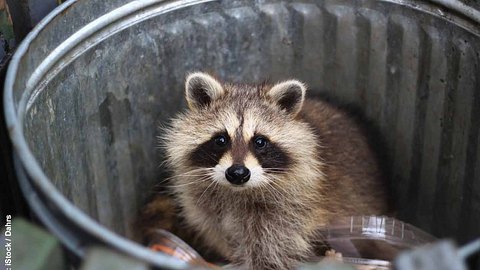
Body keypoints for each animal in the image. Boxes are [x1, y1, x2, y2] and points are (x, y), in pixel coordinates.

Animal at [149, 72, 386, 270]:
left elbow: (271, 251)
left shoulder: (291, 211)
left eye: (260, 141)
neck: (237, 193)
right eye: (220, 140)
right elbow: (217, 232)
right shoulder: (204, 206)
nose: (237, 173)